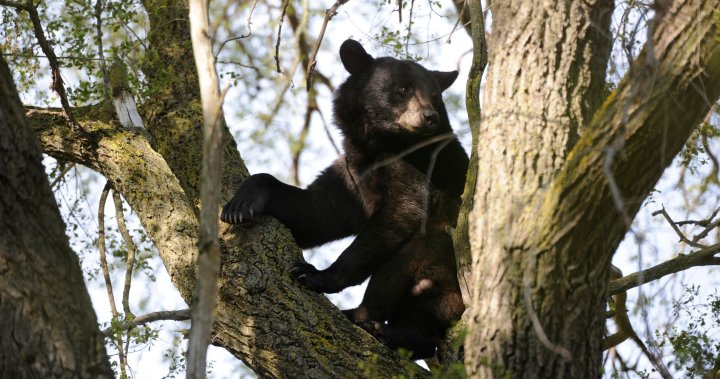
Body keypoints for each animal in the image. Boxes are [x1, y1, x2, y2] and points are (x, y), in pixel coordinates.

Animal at [224, 39, 466, 360]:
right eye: (403, 88)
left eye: (436, 96)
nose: (430, 117)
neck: (378, 147)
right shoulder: (351, 174)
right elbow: (316, 214)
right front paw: (240, 205)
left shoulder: (421, 168)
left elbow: (404, 210)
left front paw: (314, 274)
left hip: (448, 268)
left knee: (413, 255)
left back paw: (366, 318)